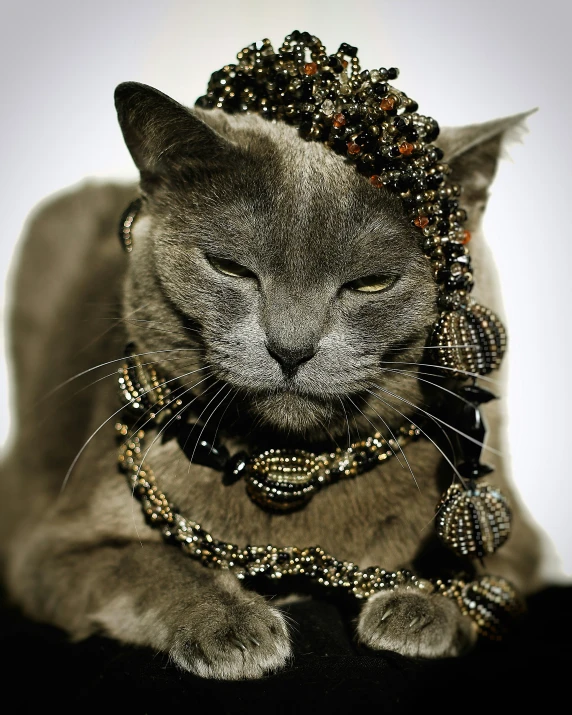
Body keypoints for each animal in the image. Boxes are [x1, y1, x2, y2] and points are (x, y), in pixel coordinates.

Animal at [0, 81, 544, 680]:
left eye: (372, 283)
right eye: (230, 268)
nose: (291, 348)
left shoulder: (525, 540)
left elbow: (493, 573)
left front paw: (419, 608)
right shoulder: (50, 550)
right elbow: (150, 566)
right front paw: (231, 625)